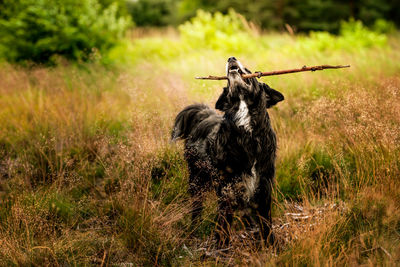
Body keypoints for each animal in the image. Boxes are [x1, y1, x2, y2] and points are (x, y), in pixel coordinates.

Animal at [172, 58, 284, 245]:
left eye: (249, 70)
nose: (231, 58)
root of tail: (204, 114)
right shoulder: (227, 189)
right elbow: (224, 225)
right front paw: (221, 247)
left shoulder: (263, 187)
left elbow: (266, 225)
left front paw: (271, 246)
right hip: (196, 180)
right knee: (196, 210)